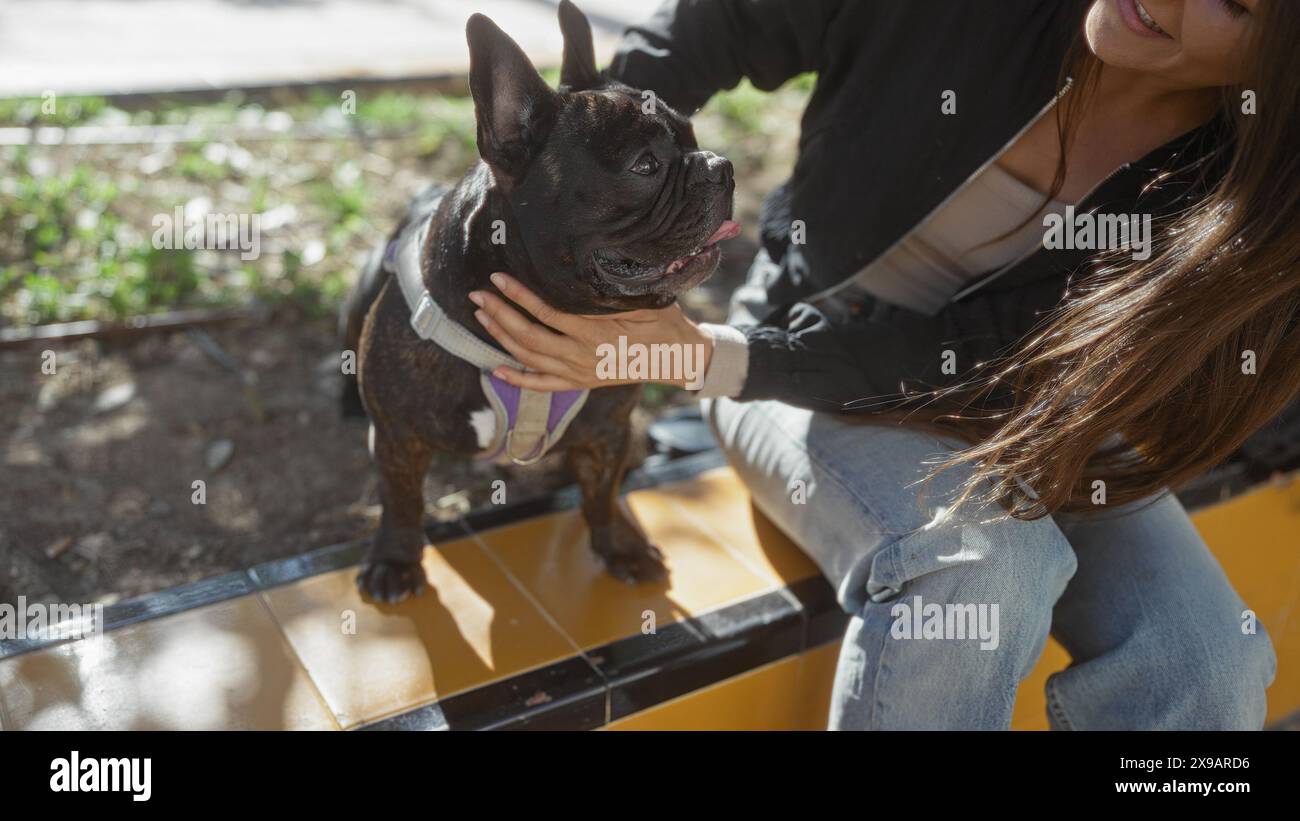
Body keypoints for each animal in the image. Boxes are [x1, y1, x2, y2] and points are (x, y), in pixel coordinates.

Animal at [340, 0, 738, 602]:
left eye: (693, 137)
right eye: (644, 165)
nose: (722, 167)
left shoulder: (607, 429)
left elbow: (602, 492)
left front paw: (620, 546)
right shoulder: (397, 434)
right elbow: (402, 500)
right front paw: (394, 560)